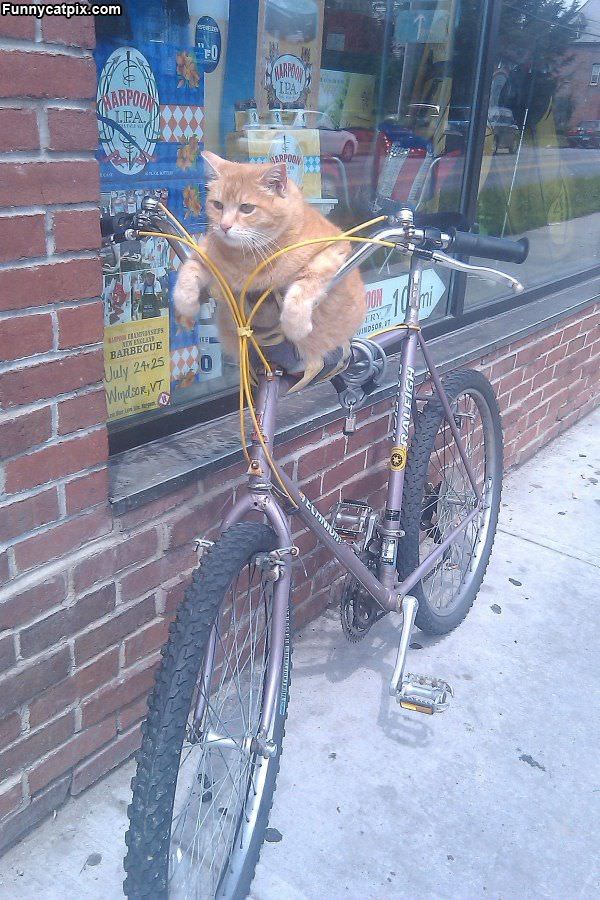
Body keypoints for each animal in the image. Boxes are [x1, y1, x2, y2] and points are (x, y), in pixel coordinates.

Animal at [173, 149, 366, 382]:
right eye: (217, 205)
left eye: (246, 208)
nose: (224, 226)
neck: (248, 257)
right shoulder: (204, 255)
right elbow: (188, 271)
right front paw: (185, 304)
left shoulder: (334, 249)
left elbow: (307, 283)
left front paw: (295, 324)